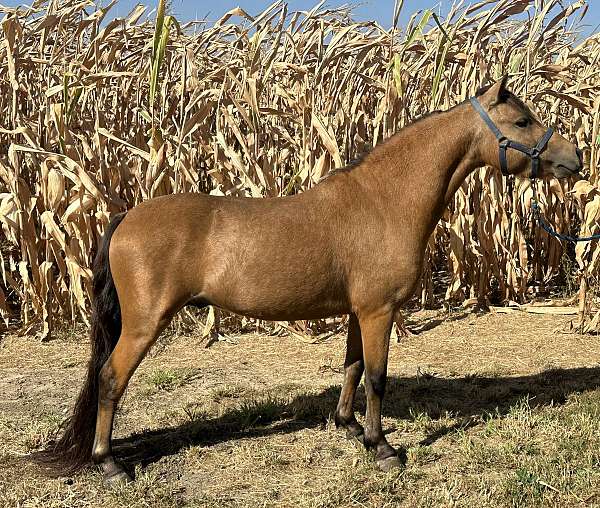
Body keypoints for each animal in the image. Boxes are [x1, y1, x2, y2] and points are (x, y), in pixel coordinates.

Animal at [39, 77, 584, 482]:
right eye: (522, 121)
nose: (574, 159)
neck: (384, 200)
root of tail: (126, 218)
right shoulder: (379, 311)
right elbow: (378, 377)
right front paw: (382, 447)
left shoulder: (359, 312)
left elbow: (352, 367)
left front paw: (349, 427)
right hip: (143, 324)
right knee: (110, 379)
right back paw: (109, 463)